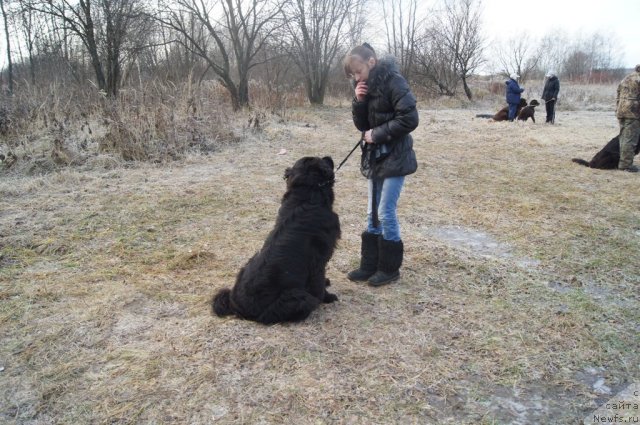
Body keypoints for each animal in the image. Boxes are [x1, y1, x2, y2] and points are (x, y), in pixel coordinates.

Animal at [211, 156, 342, 324]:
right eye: (321, 160)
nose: (329, 157)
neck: (306, 197)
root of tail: (235, 306)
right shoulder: (318, 261)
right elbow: (318, 282)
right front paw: (328, 297)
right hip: (297, 298)